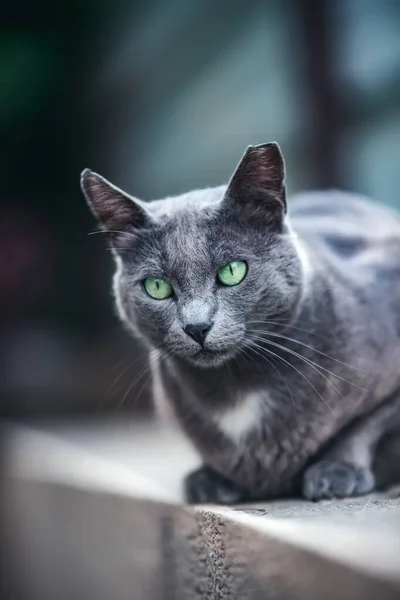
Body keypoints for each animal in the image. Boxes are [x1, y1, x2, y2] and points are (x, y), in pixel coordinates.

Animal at [80, 143, 400, 504]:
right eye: (157, 286)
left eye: (232, 271)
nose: (197, 326)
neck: (237, 381)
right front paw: (210, 480)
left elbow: (366, 423)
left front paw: (337, 470)